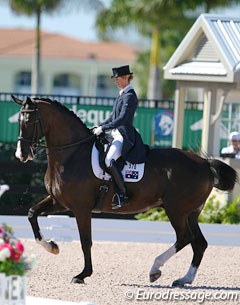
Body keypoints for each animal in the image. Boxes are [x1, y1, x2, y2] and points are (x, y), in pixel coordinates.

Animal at [12, 95, 237, 284]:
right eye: (19, 122)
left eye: (29, 121)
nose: (21, 154)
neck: (72, 153)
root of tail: (204, 163)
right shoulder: (59, 201)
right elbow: (32, 214)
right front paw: (52, 247)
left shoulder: (81, 208)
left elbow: (86, 241)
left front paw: (82, 274)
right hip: (191, 212)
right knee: (199, 243)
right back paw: (184, 279)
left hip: (176, 210)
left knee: (184, 238)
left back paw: (155, 269)